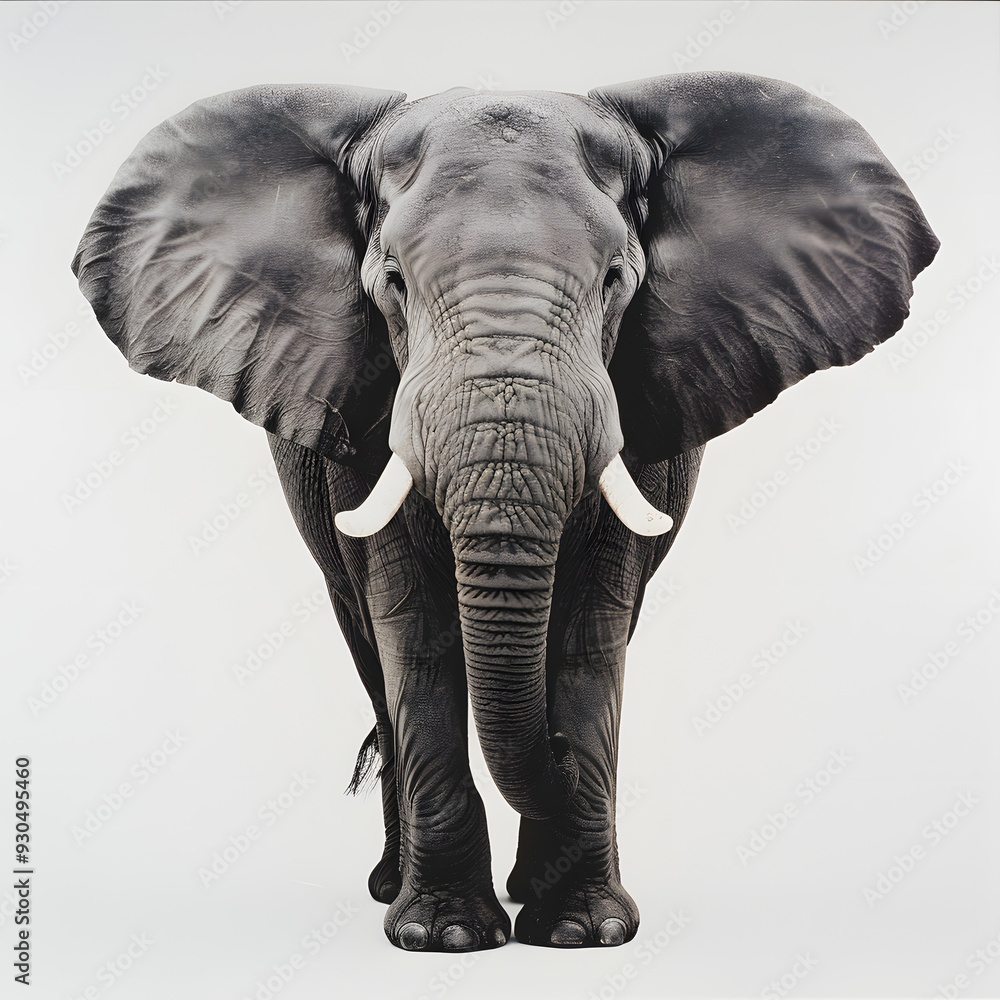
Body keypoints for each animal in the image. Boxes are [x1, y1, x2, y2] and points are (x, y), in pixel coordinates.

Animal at [73, 72, 938, 952]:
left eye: (615, 280)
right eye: (392, 284)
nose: (555, 755)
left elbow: (590, 635)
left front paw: (583, 932)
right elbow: (415, 634)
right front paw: (445, 937)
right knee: (371, 654)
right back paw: (391, 887)